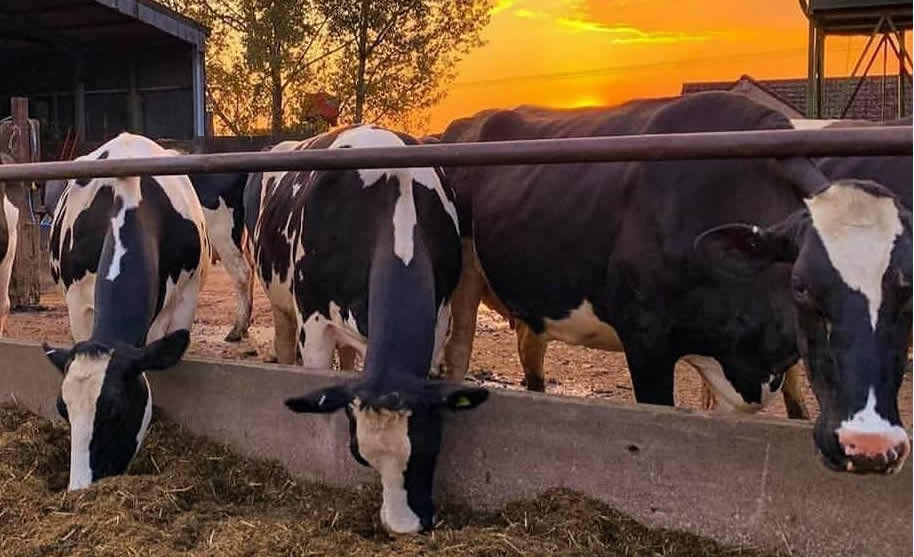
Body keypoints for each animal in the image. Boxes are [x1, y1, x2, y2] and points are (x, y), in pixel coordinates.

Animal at [242, 124, 484, 532]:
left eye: (431, 444)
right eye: (359, 455)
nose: (403, 528)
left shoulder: (440, 318)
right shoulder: (314, 323)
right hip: (278, 300)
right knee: (285, 339)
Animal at [440, 91, 904, 474]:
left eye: (906, 287)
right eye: (802, 287)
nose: (871, 446)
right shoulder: (646, 342)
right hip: (465, 279)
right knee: (457, 351)